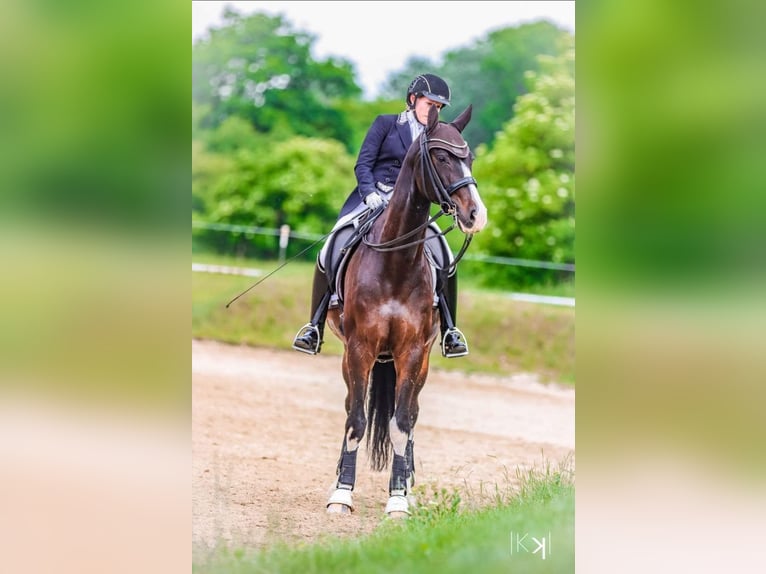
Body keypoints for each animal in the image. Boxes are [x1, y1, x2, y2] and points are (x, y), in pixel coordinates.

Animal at [324, 102, 492, 516]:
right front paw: (341, 494)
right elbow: (356, 419)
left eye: (470, 159)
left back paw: (408, 482)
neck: (395, 263)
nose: (476, 215)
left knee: (411, 414)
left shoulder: (413, 351)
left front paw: (398, 498)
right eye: (442, 157)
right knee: (353, 407)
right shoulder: (359, 349)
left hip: (421, 361)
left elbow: (401, 423)